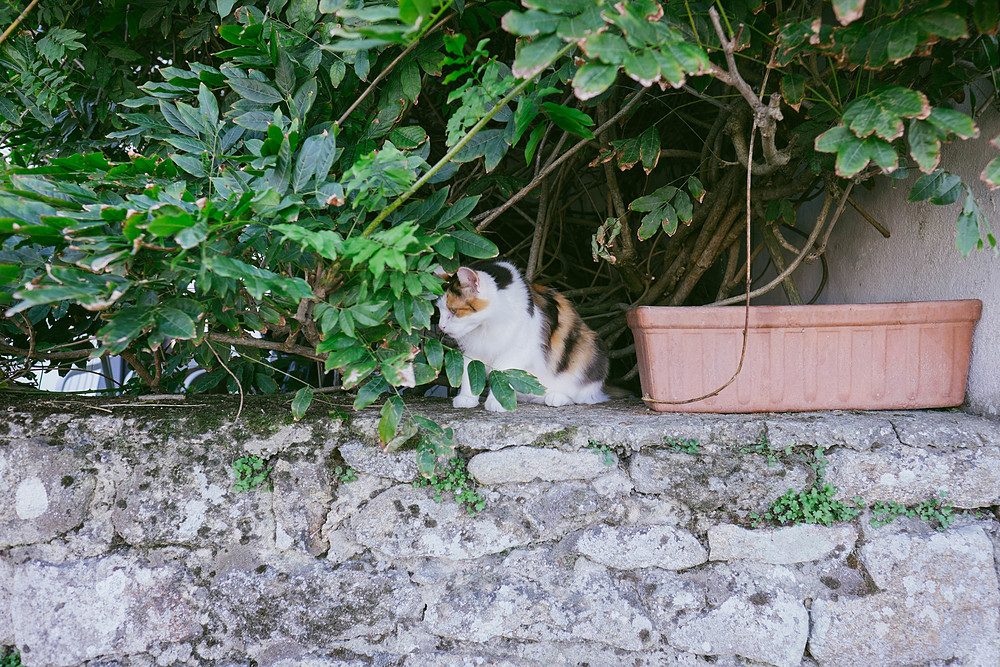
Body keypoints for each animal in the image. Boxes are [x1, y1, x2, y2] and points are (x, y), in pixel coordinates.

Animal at [436, 260, 608, 412]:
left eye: (453, 311)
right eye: (440, 310)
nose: (440, 326)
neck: (487, 325)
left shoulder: (516, 349)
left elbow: (503, 374)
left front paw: (501, 402)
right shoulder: (474, 351)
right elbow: (468, 374)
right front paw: (466, 398)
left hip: (588, 348)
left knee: (579, 396)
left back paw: (556, 397)